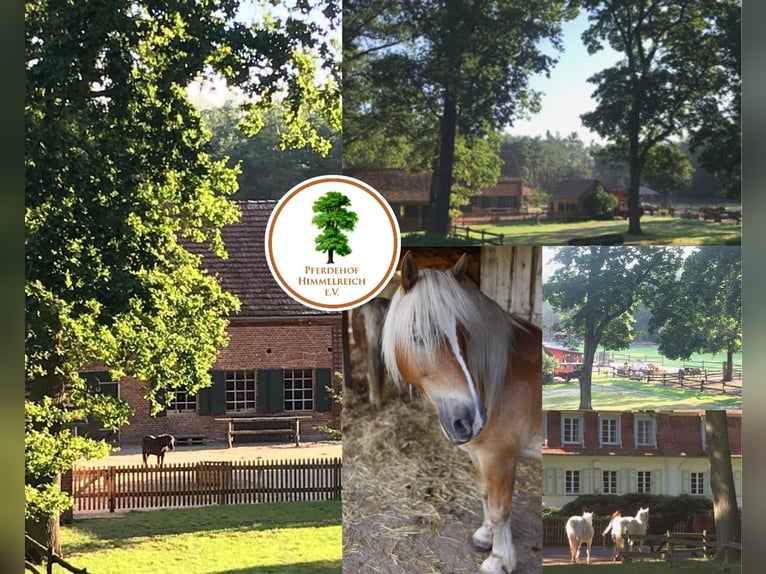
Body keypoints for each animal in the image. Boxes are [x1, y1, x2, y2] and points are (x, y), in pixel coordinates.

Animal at [381, 251, 541, 574]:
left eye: (465, 334)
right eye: (418, 336)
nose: (472, 419)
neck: (497, 382)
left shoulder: (501, 458)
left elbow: (500, 508)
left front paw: (499, 559)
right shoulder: (479, 457)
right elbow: (484, 494)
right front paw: (485, 536)